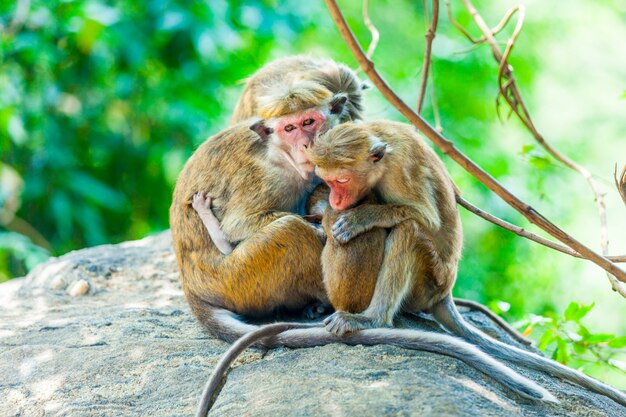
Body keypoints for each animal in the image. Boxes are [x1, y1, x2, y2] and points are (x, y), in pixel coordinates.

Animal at [304, 118, 624, 404]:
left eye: (342, 180)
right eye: (328, 181)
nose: (335, 200)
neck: (381, 153)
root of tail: (445, 293)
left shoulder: (401, 170)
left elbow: (426, 218)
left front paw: (361, 218)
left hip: (429, 281)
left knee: (409, 230)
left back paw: (372, 319)